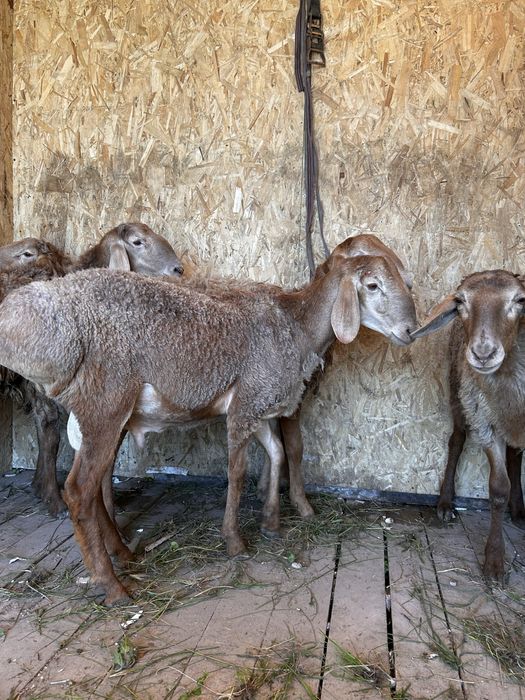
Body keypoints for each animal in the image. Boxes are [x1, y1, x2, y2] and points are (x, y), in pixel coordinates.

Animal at [411, 269, 525, 582]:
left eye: (520, 300)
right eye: (461, 301)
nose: (483, 354)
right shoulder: (485, 422)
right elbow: (498, 489)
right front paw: (495, 562)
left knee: (515, 455)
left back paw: (519, 510)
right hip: (459, 391)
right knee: (457, 441)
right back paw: (445, 503)